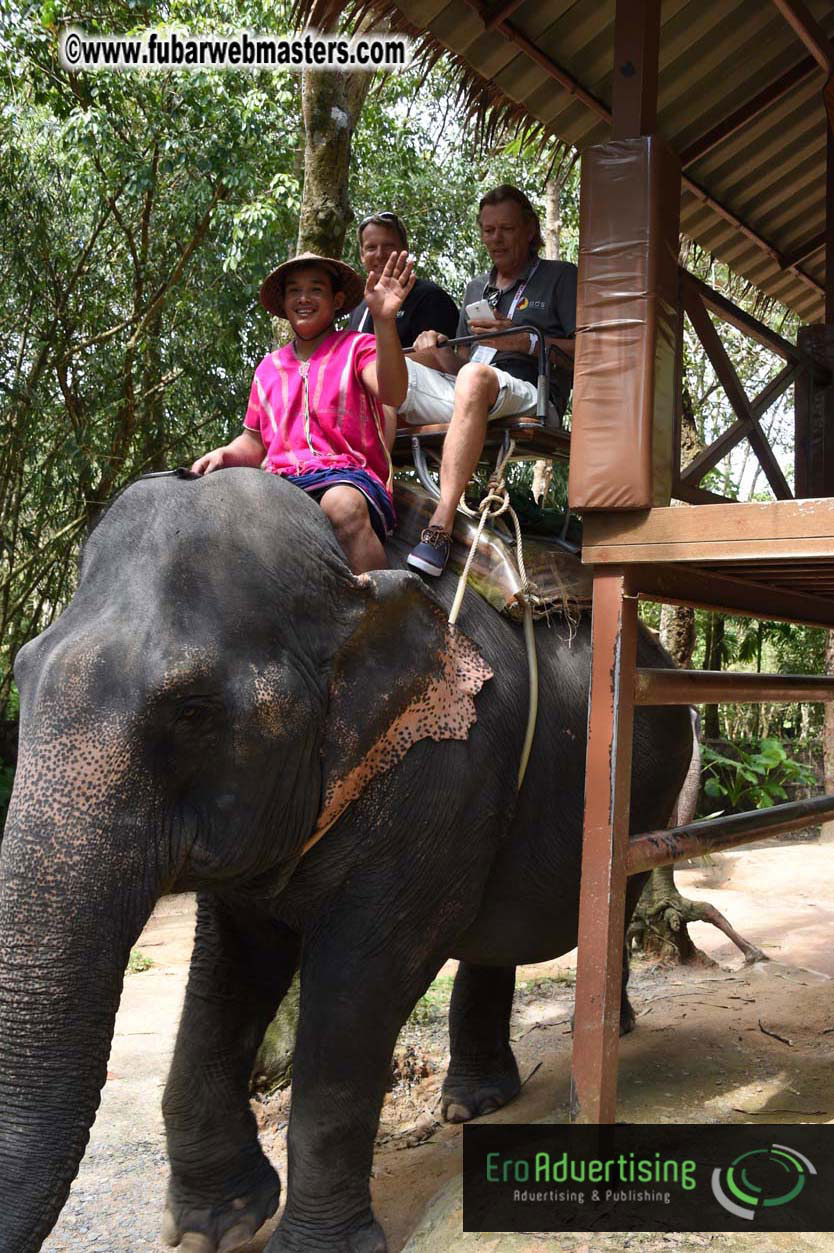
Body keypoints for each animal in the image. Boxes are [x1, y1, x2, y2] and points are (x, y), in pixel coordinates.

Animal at [0, 467, 692, 1253]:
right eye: (20, 672)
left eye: (192, 710)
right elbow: (232, 968)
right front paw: (215, 1224)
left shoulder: (439, 768)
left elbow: (364, 976)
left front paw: (309, 1245)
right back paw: (473, 1104)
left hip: (647, 781)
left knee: (617, 893)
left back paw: (612, 1032)